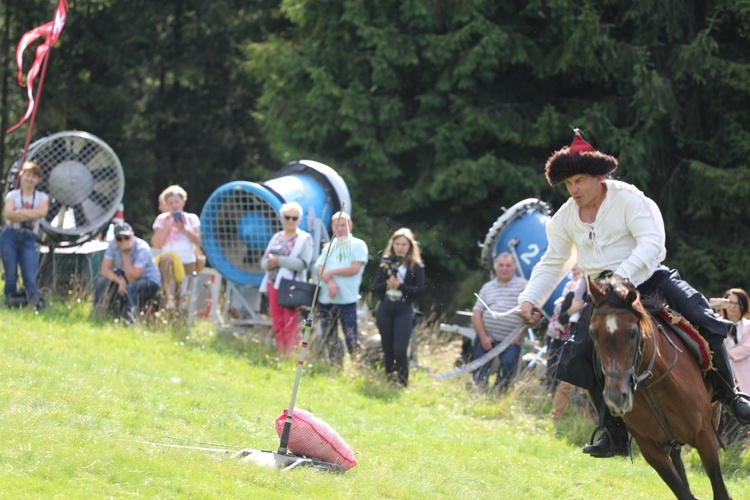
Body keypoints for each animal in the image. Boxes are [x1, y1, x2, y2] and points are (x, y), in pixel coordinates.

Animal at [592, 278, 732, 500]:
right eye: (593, 333)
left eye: (632, 333)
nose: (616, 397)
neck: (652, 384)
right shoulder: (651, 450)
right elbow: (684, 493)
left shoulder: (705, 435)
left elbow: (719, 490)